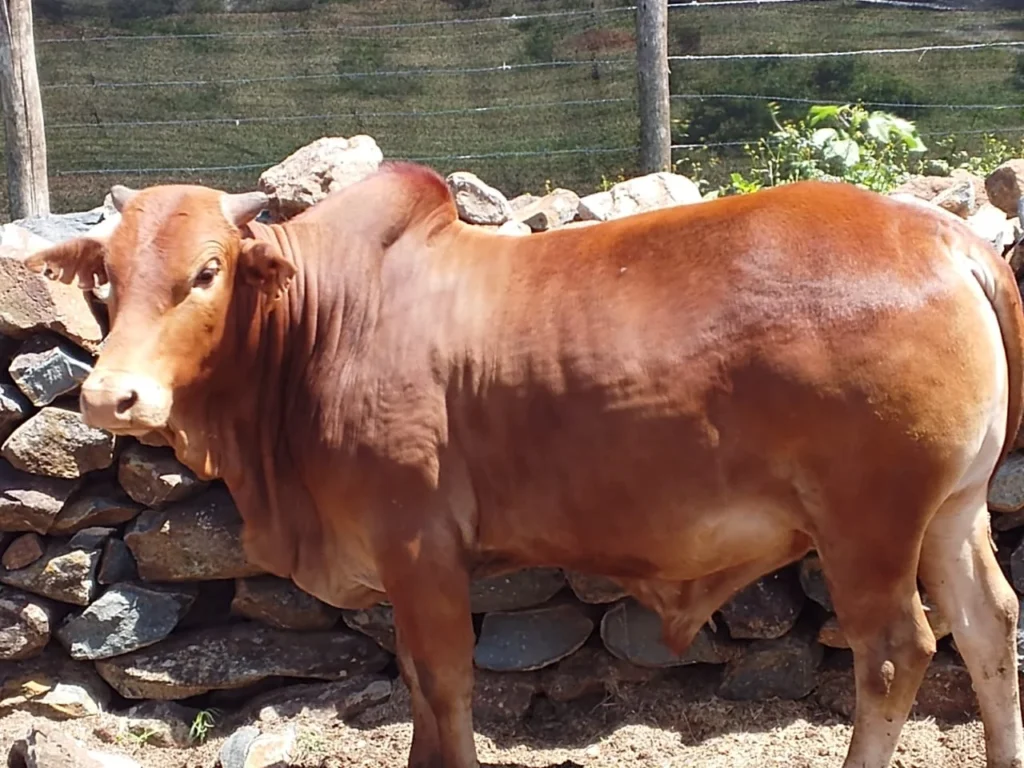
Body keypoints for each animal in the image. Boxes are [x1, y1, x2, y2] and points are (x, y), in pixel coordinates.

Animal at [19, 162, 1024, 768]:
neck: (321, 325)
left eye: (208, 270)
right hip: (953, 511)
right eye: (106, 277)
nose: (111, 398)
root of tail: (945, 237)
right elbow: (420, 692)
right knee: (989, 628)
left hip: (869, 526)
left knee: (895, 655)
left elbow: (445, 684)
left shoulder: (418, 547)